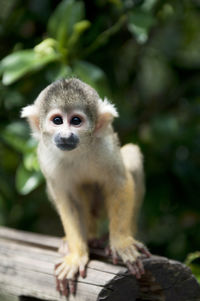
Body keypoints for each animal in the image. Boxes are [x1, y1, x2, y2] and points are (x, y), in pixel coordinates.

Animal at [21, 77, 150, 296]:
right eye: (57, 120)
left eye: (76, 121)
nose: (66, 136)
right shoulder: (46, 158)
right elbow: (67, 198)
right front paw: (76, 255)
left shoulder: (105, 147)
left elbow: (119, 183)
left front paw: (121, 242)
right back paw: (86, 238)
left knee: (131, 155)